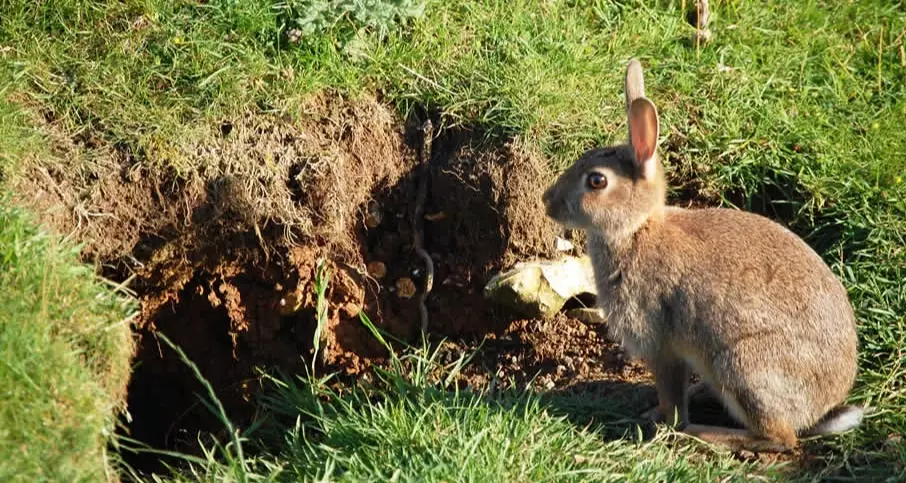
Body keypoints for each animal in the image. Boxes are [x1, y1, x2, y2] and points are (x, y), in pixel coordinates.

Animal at [542, 58, 863, 452]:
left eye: (596, 181)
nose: (548, 201)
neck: (636, 230)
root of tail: (823, 408)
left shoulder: (660, 345)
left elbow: (670, 398)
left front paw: (664, 424)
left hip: (743, 366)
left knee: (780, 438)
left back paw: (704, 433)